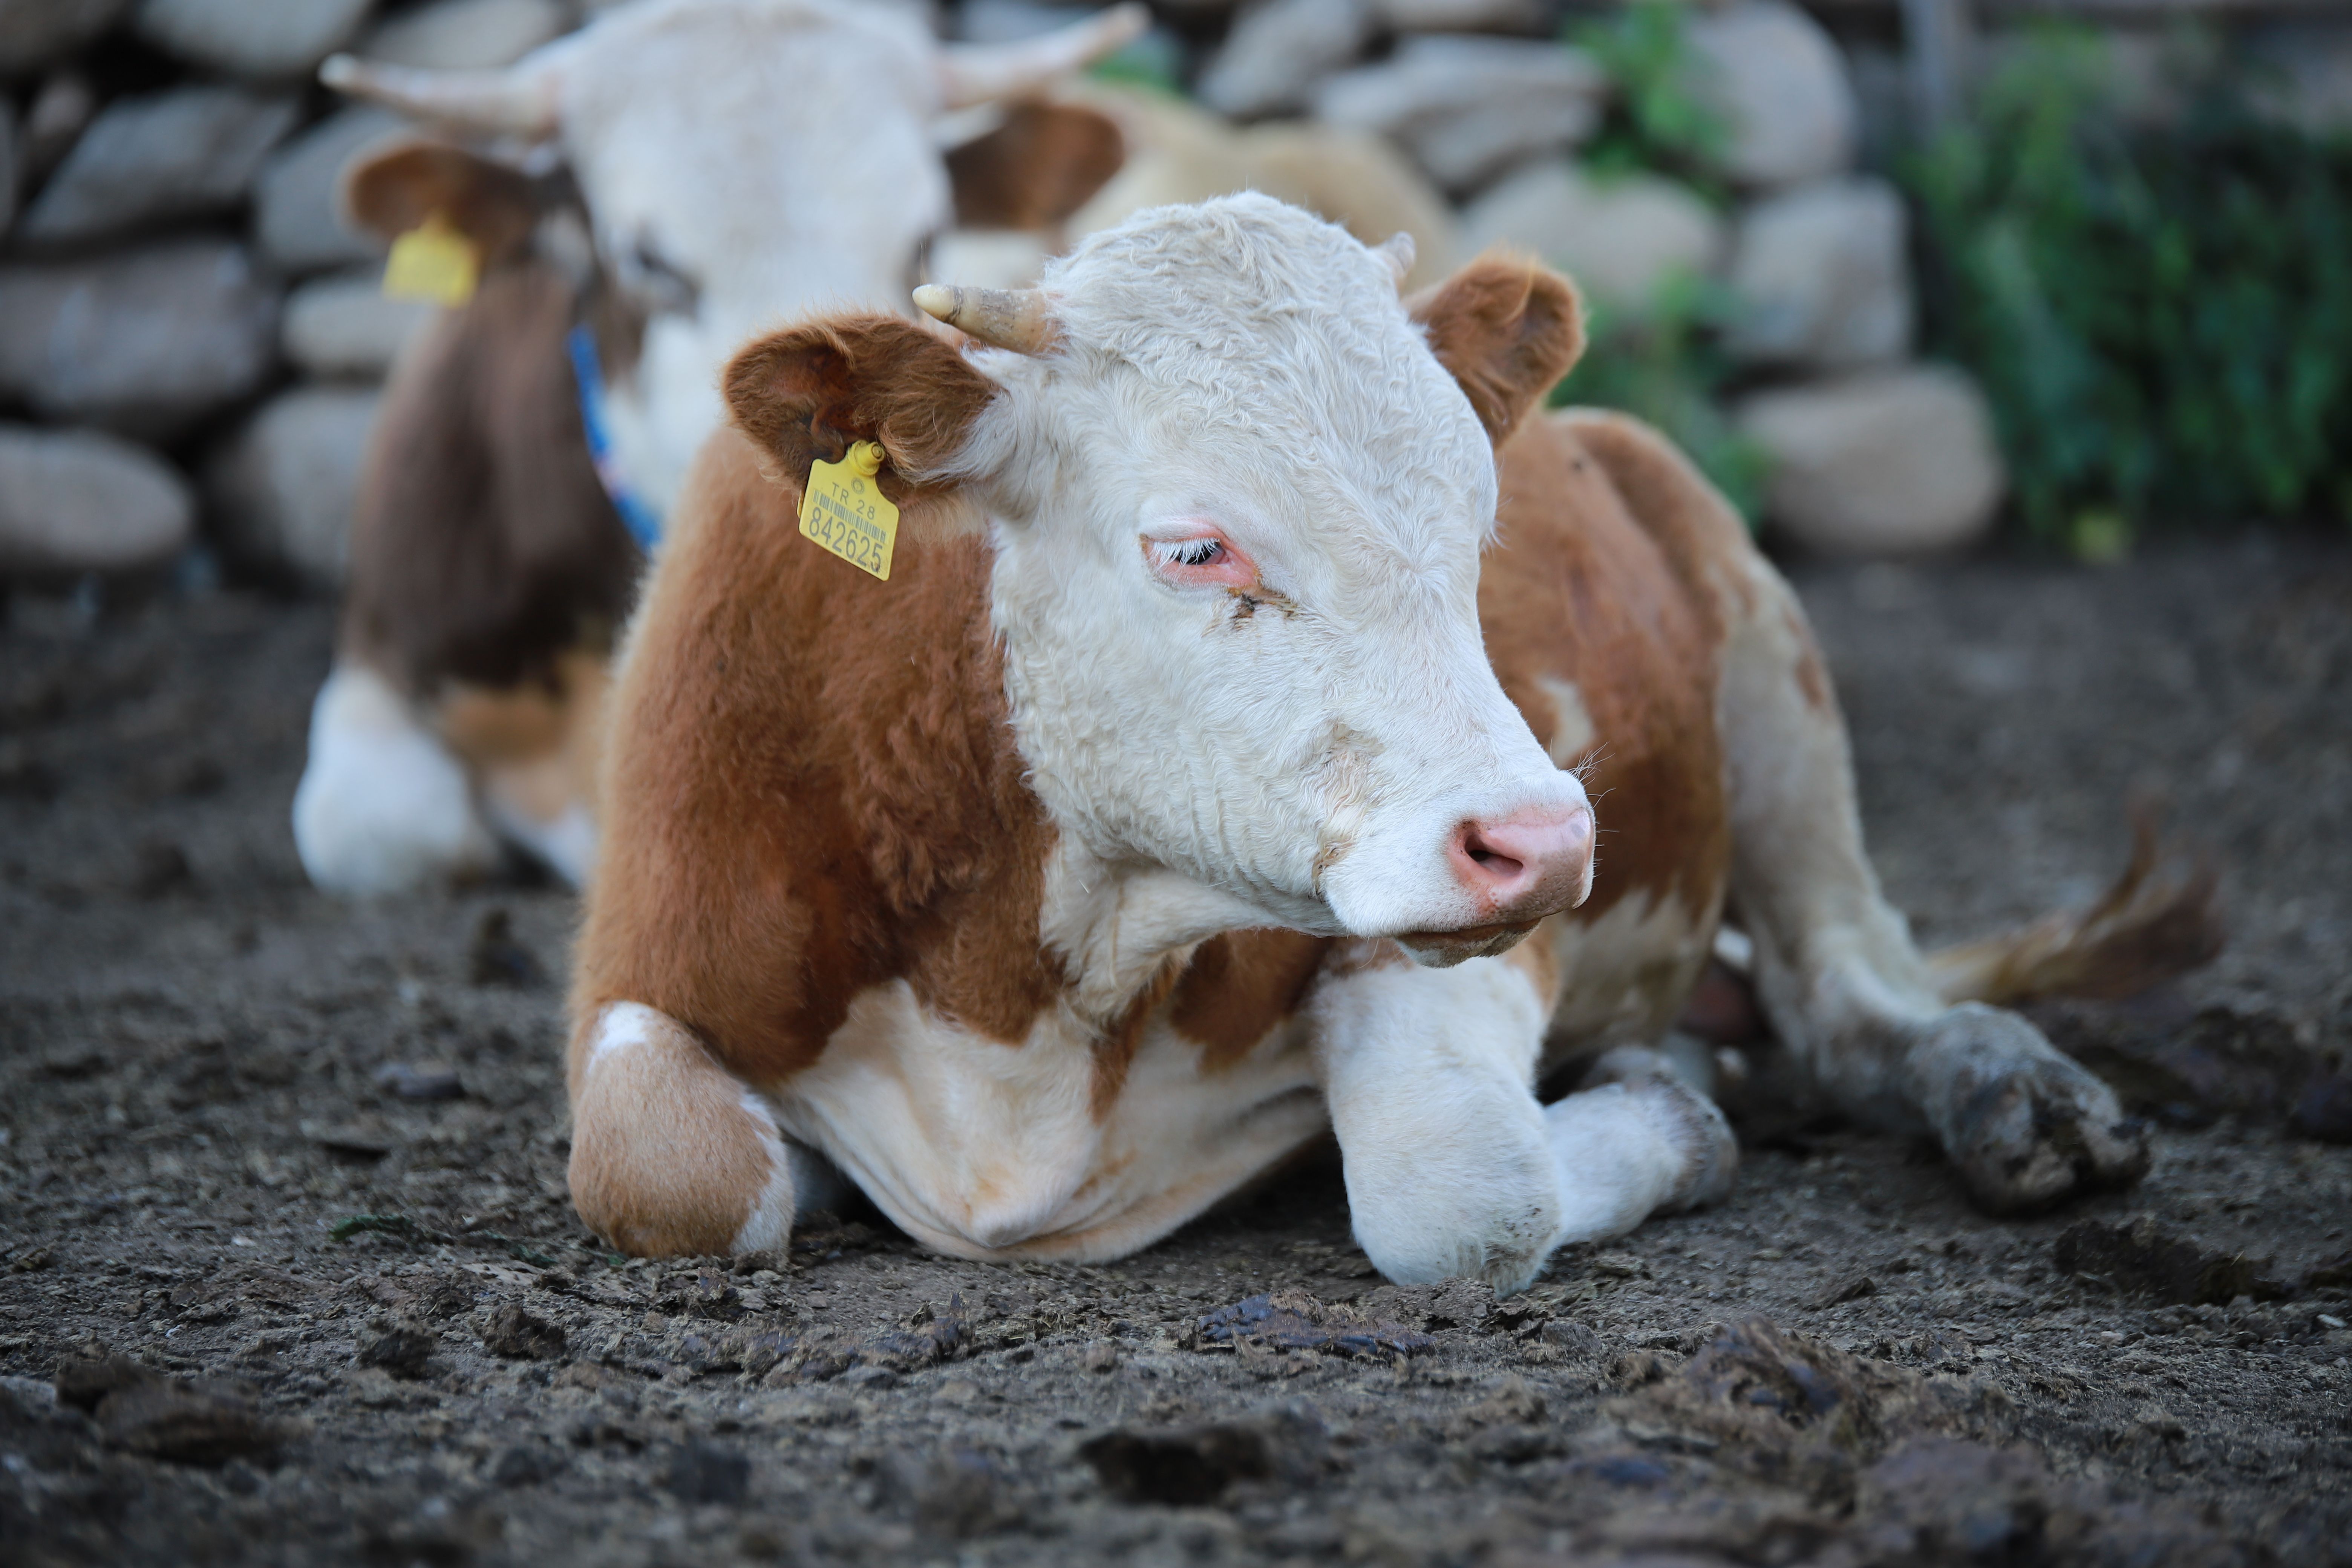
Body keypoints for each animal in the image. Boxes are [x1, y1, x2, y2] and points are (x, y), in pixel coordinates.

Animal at [562, 196, 2216, 1290]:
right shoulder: (649, 947)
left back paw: (2014, 1098)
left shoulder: (1459, 949)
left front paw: (1670, 1117)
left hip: (1769, 666)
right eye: (1195, 547)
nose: (1544, 838)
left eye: (1480, 523)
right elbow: (670, 1173)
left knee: (1855, 997)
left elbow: (1459, 1193)